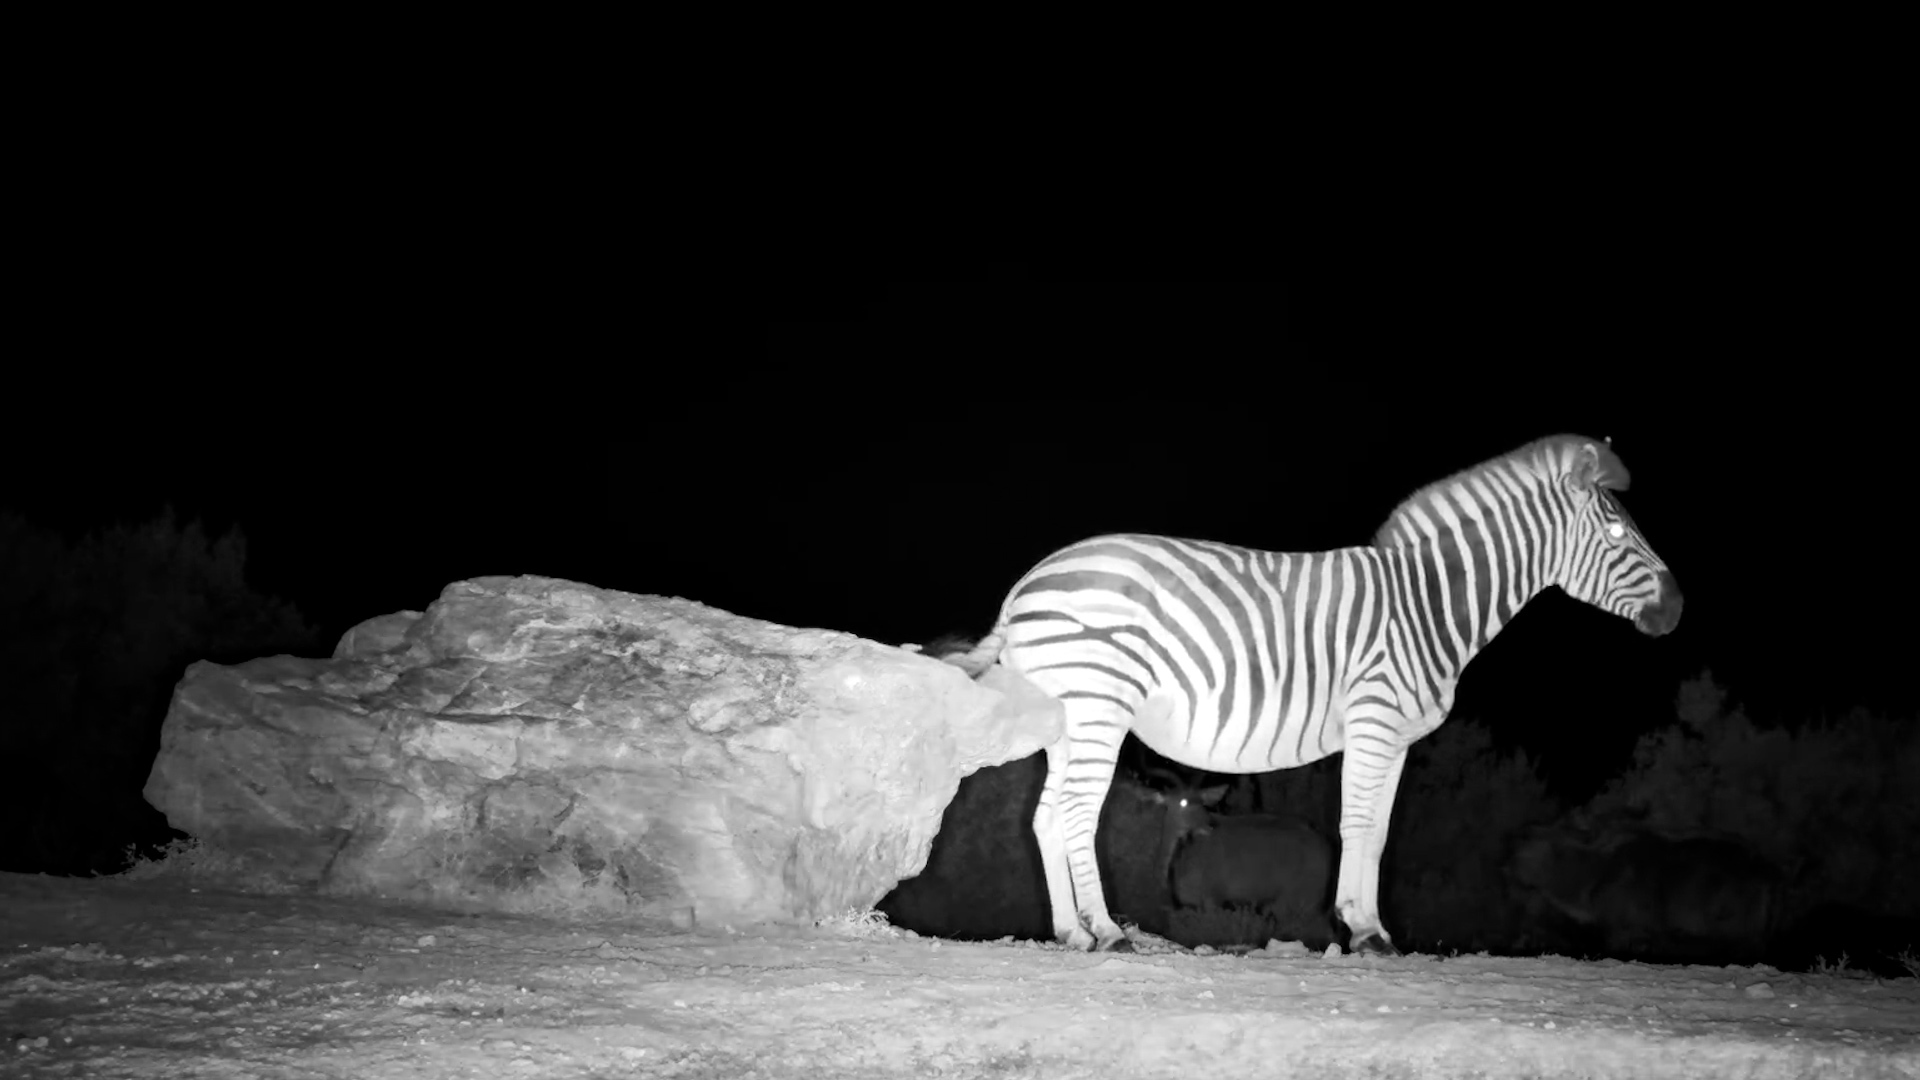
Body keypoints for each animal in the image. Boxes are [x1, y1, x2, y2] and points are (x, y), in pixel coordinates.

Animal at [928, 435, 1682, 954]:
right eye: (1618, 531)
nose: (1677, 608)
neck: (1429, 604)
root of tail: (1024, 589)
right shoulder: (1375, 720)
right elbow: (1357, 825)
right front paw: (1362, 930)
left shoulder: (1399, 738)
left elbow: (1377, 834)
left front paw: (1372, 931)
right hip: (1098, 705)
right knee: (1077, 813)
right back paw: (1108, 931)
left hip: (1068, 718)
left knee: (1045, 818)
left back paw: (1072, 932)